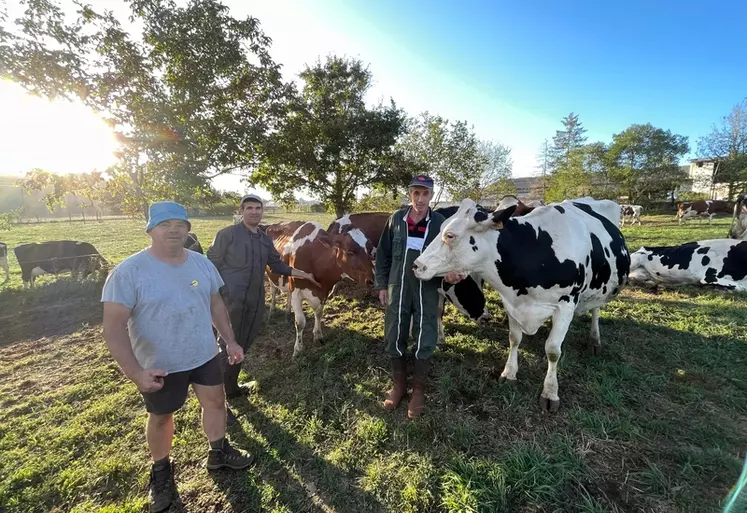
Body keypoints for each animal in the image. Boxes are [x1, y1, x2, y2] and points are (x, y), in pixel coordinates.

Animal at [266, 222, 376, 358]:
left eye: (369, 250)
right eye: (350, 251)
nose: (372, 280)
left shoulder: (324, 292)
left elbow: (319, 313)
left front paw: (318, 336)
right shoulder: (297, 292)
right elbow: (300, 322)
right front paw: (298, 349)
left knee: (288, 296)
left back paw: (287, 314)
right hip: (270, 275)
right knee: (273, 292)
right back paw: (272, 311)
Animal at [414, 197, 632, 412]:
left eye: (450, 235)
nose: (417, 265)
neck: (534, 252)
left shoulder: (566, 305)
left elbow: (553, 350)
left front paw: (550, 392)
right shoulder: (512, 302)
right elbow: (514, 338)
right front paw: (509, 373)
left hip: (603, 286)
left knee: (596, 309)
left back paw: (594, 340)